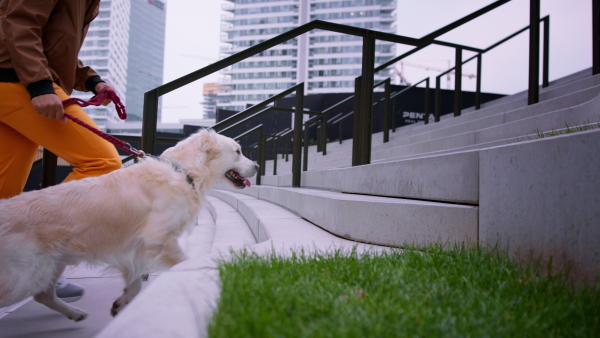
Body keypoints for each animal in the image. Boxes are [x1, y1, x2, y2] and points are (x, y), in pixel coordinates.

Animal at [0, 129, 255, 322]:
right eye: (238, 151)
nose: (258, 166)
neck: (183, 172)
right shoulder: (158, 239)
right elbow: (185, 262)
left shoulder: (136, 248)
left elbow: (135, 284)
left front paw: (121, 302)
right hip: (24, 276)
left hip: (53, 263)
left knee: (43, 296)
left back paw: (75, 313)